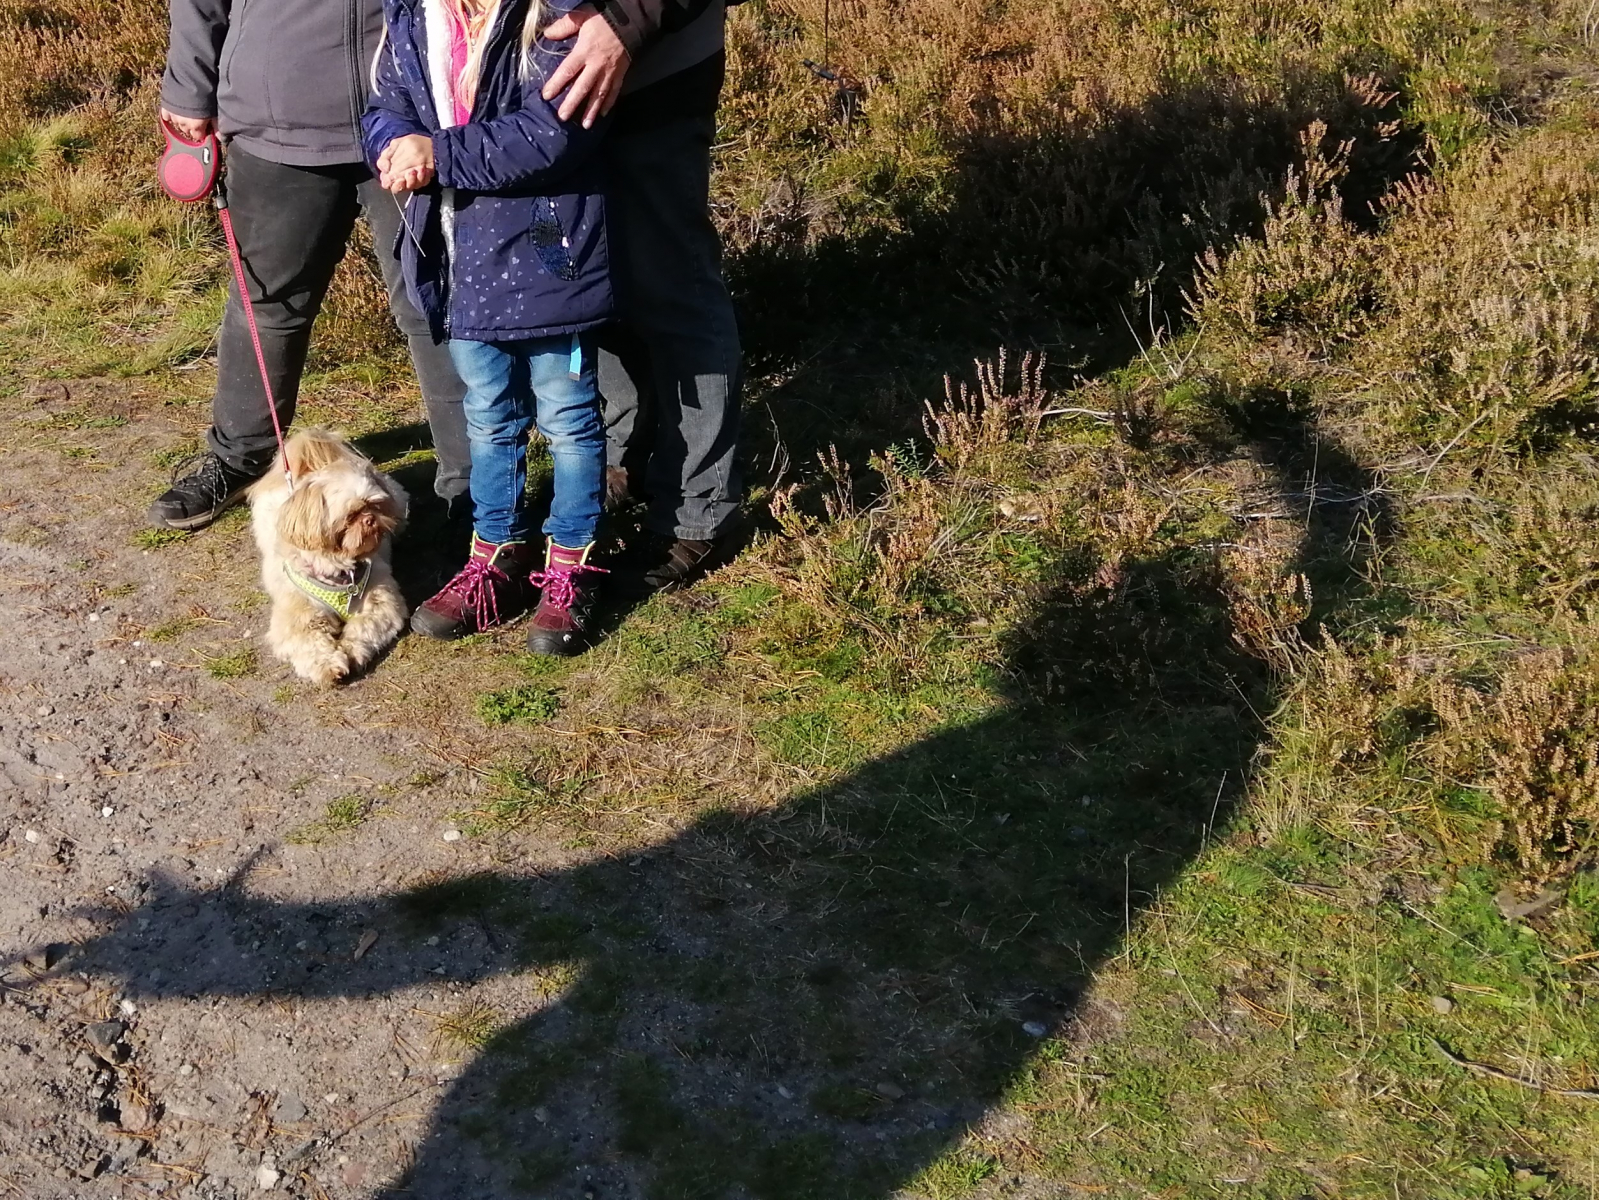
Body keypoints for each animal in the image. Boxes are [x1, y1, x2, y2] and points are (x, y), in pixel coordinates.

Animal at [247, 429, 408, 686]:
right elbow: (311, 643)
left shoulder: (381, 604)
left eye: (375, 505)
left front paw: (351, 651)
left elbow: (364, 628)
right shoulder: (298, 617)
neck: (339, 569)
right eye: (350, 515)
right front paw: (328, 665)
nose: (370, 519)